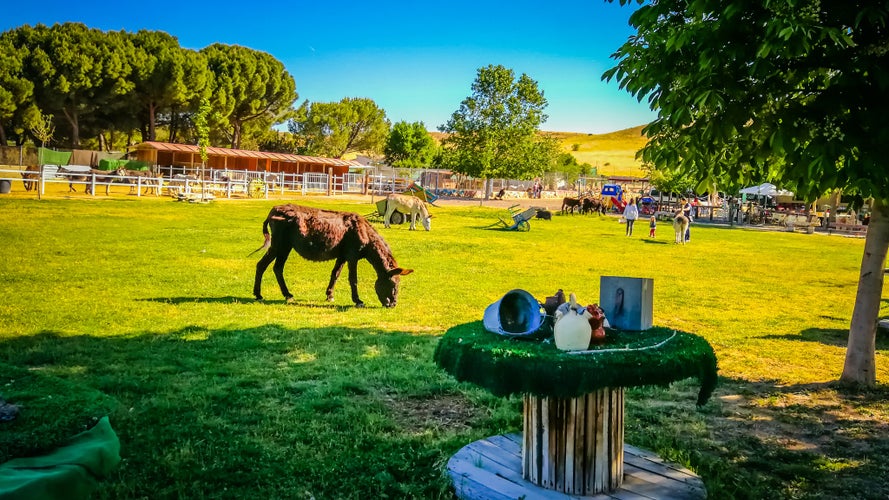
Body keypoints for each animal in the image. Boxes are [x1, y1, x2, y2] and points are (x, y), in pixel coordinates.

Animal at [253, 204, 412, 308]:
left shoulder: (342, 256)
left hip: (285, 246)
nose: (393, 305)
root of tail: (273, 211)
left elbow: (335, 274)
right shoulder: (352, 255)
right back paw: (260, 295)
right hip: (280, 244)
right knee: (263, 265)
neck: (365, 234)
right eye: (394, 285)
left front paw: (329, 295)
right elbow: (353, 279)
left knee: (276, 268)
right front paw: (358, 301)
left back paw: (286, 295)